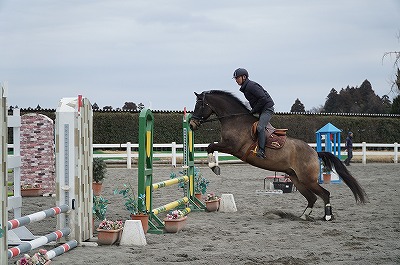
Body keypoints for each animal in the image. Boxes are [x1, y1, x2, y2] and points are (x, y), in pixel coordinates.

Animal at [189, 89, 368, 220]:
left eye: (199, 105)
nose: (191, 124)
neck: (235, 120)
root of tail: (314, 151)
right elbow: (211, 146)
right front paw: (214, 165)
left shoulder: (232, 147)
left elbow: (210, 146)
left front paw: (214, 167)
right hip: (297, 179)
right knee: (312, 198)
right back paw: (303, 216)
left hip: (307, 179)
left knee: (324, 194)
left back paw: (328, 217)